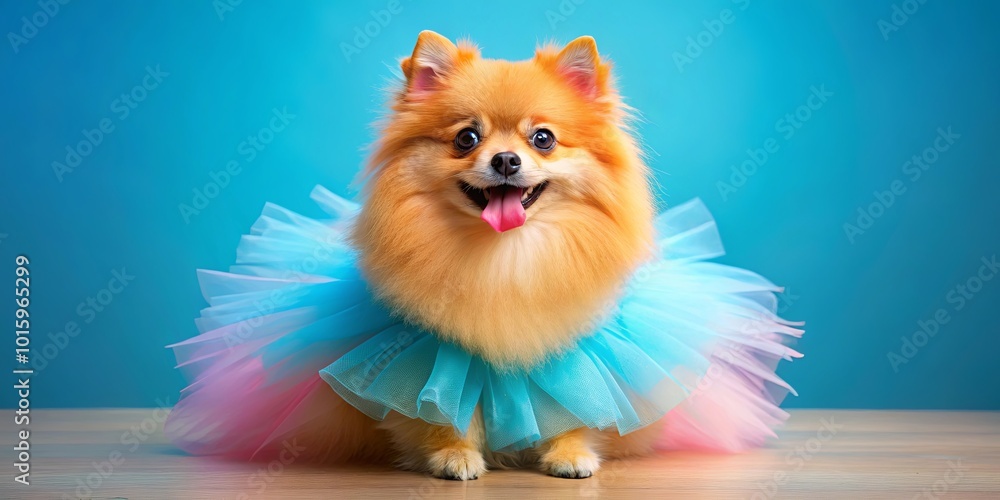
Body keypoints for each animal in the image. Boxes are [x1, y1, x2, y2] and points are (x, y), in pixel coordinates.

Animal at [344, 28, 656, 480]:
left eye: (543, 138)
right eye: (466, 138)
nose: (506, 159)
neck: (505, 254)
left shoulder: (567, 351)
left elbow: (575, 403)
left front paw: (569, 453)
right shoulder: (436, 354)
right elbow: (443, 408)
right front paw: (453, 454)